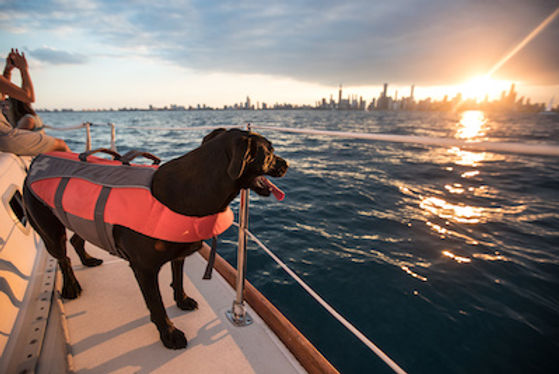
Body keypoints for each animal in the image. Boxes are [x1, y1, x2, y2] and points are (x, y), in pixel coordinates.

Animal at [22, 129, 288, 350]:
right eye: (269, 150)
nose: (286, 164)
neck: (191, 190)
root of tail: (35, 163)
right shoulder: (144, 268)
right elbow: (157, 305)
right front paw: (169, 334)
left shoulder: (179, 253)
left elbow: (178, 280)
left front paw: (182, 300)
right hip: (49, 226)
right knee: (63, 257)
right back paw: (71, 286)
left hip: (82, 218)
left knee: (77, 240)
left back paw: (88, 260)